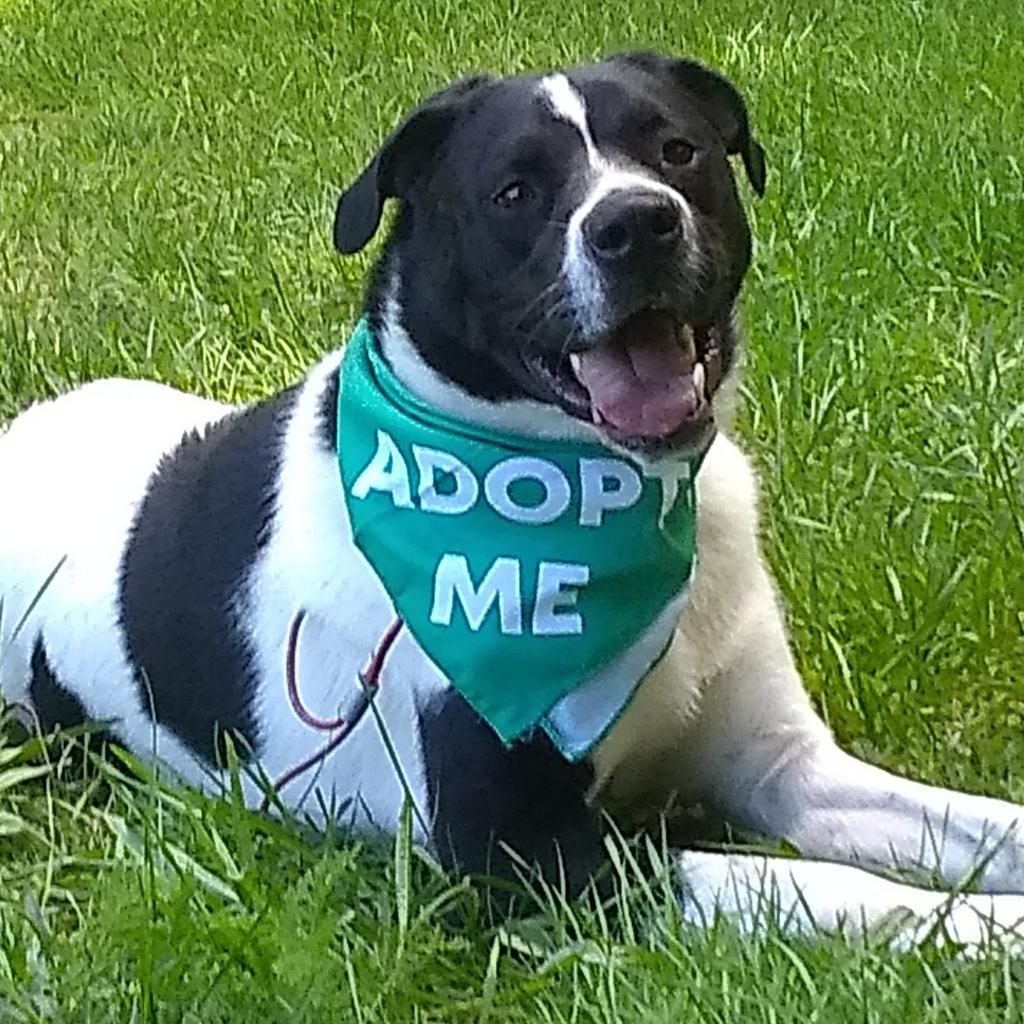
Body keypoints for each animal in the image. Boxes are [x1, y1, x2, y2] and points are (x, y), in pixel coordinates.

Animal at [2, 48, 1024, 942]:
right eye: (515, 192)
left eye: (678, 150)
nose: (636, 224)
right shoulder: (520, 858)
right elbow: (827, 892)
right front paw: (993, 934)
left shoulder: (788, 767)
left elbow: (974, 828)